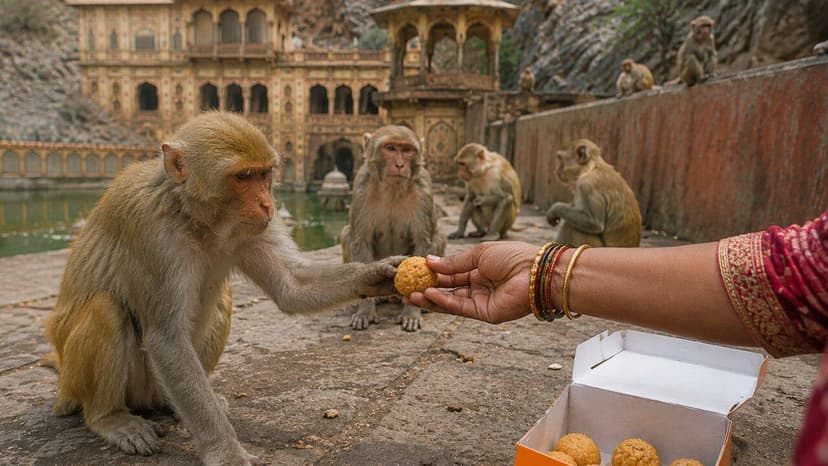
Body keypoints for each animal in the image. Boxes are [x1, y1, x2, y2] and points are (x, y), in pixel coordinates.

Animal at [43, 112, 400, 465]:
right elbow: (166, 339)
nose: (267, 204)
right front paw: (227, 451)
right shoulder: (152, 231)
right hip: (90, 382)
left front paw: (377, 275)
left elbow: (292, 286)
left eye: (265, 174)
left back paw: (177, 406)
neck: (193, 216)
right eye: (243, 176)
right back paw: (110, 418)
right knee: (105, 308)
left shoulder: (252, 228)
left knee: (221, 301)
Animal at [340, 125, 446, 332]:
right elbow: (360, 242)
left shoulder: (423, 191)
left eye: (407, 150)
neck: (392, 188)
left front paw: (412, 311)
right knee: (347, 234)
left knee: (439, 235)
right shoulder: (361, 189)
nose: (399, 164)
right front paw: (365, 311)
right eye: (390, 148)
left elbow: (424, 241)